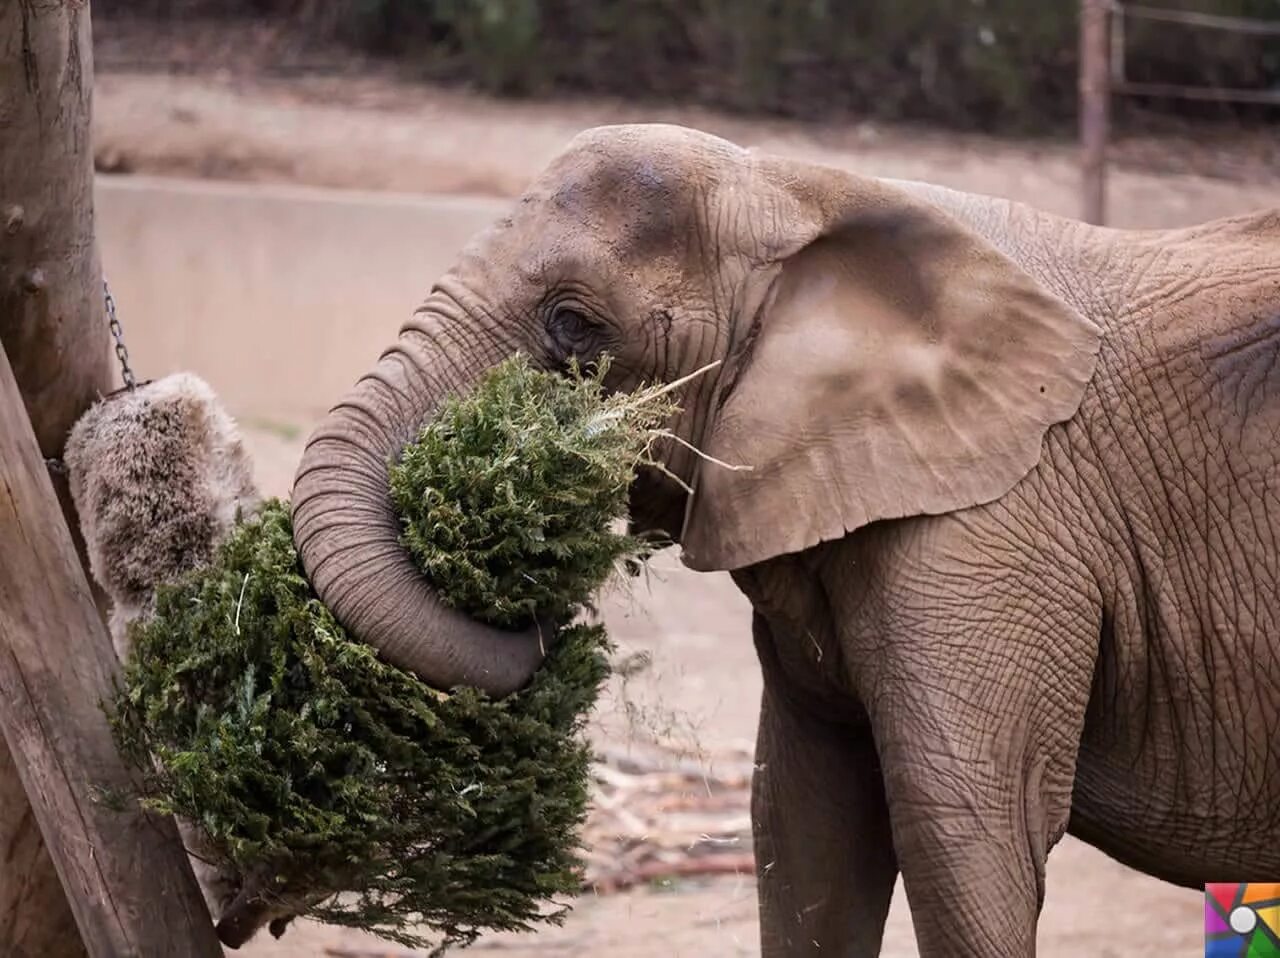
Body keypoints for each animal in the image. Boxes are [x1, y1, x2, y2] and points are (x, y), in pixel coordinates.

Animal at [290, 123, 1280, 952]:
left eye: (573, 326)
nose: (549, 610)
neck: (798, 190)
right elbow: (805, 821)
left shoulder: (994, 534)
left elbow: (964, 832)